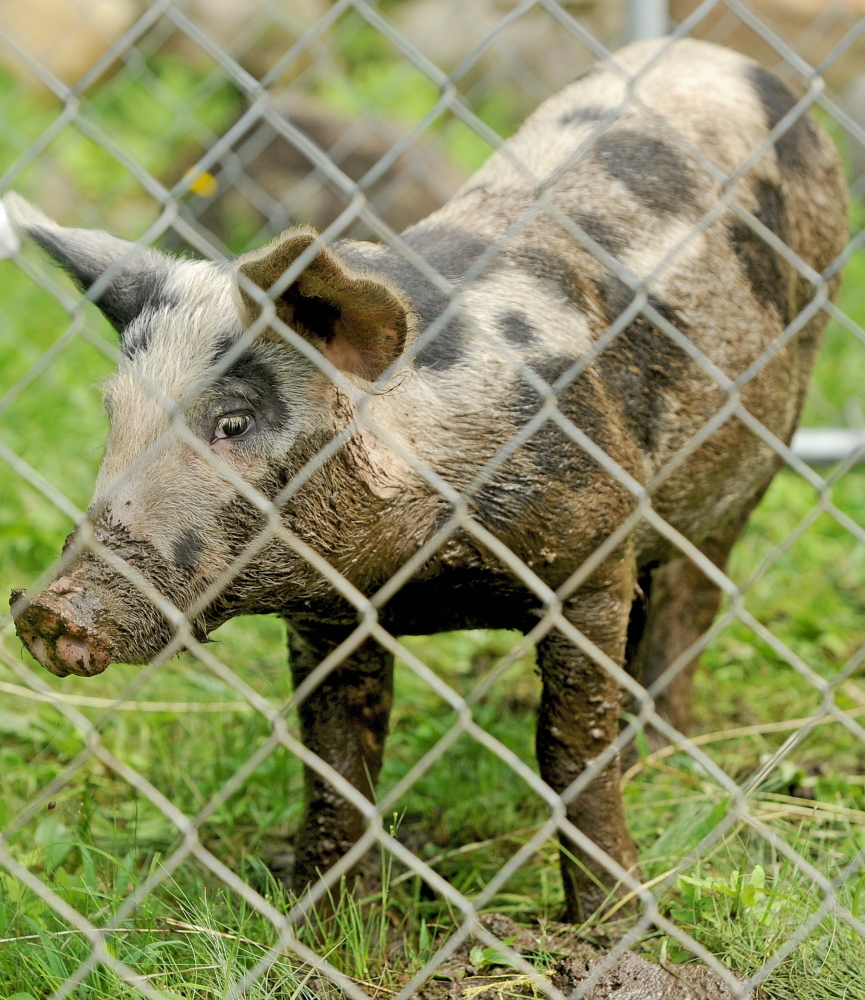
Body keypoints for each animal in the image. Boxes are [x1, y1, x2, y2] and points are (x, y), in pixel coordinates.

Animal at [5, 39, 844, 916]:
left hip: (753, 456)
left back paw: (659, 755)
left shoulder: (588, 558)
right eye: (114, 413)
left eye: (233, 422)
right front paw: (329, 925)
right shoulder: (326, 616)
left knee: (691, 600)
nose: (46, 610)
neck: (419, 571)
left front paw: (609, 922)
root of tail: (717, 53)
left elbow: (569, 752)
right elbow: (337, 764)